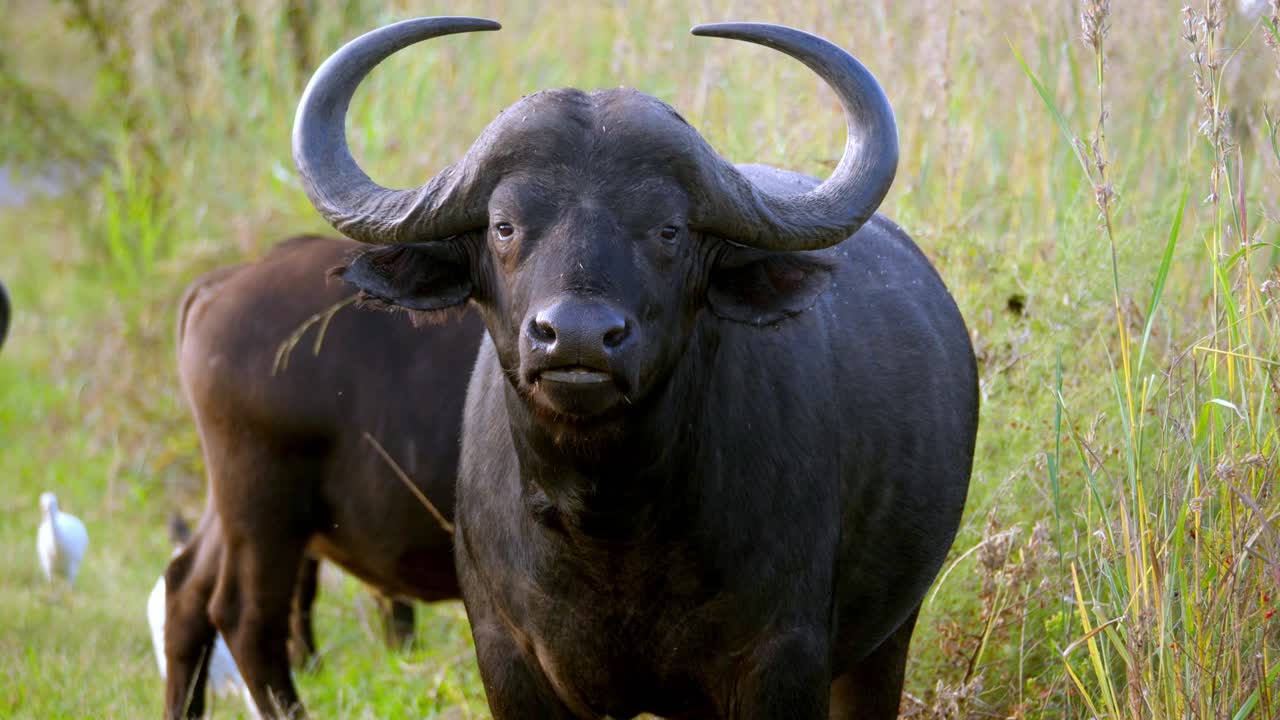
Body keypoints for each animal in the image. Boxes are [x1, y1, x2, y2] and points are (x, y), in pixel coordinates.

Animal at [294, 17, 978, 720]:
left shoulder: (785, 659)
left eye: (668, 229)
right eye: (504, 225)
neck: (611, 522)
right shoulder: (508, 658)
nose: (577, 336)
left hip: (885, 642)